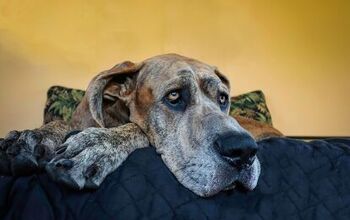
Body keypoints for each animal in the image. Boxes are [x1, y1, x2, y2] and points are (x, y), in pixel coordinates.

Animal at [0, 54, 268, 197]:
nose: (244, 150)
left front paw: (96, 145)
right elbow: (64, 123)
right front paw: (33, 137)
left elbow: (137, 129)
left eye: (223, 98)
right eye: (173, 96)